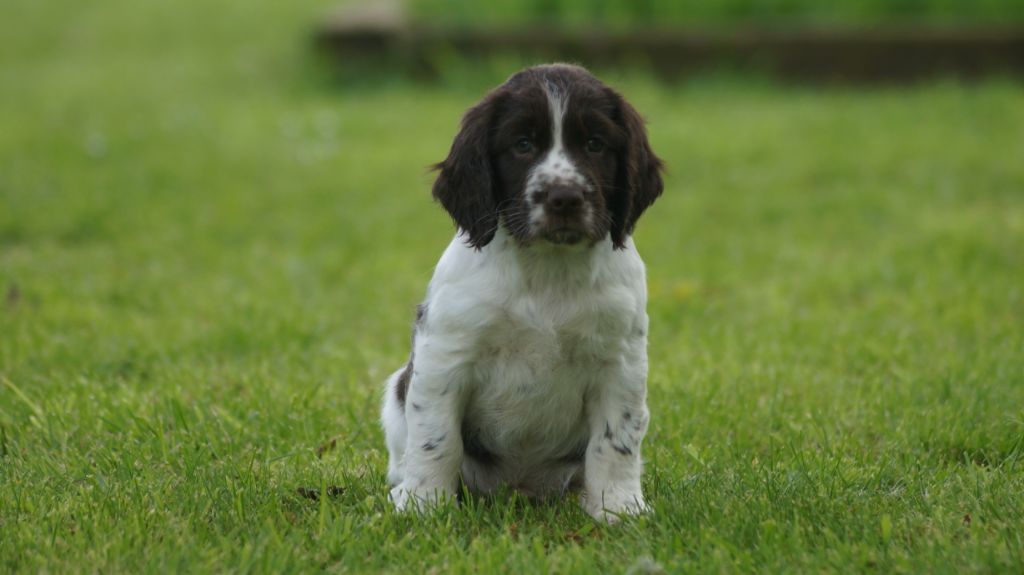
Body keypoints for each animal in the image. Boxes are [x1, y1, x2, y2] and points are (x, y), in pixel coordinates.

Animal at [382, 63, 663, 519]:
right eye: (523, 144)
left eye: (595, 143)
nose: (564, 197)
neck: (548, 270)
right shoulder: (446, 353)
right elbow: (436, 437)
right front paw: (425, 504)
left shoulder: (620, 361)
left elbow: (616, 440)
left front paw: (619, 508)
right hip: (395, 392)